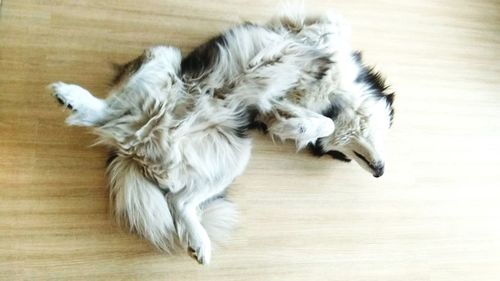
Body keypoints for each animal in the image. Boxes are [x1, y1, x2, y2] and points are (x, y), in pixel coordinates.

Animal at [50, 12, 394, 264]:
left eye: (341, 157)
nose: (381, 172)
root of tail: (138, 142)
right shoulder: (308, 27)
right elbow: (324, 35)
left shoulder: (271, 111)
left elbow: (317, 120)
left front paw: (296, 126)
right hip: (163, 57)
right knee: (108, 111)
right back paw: (73, 97)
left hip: (235, 153)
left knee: (179, 201)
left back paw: (198, 242)